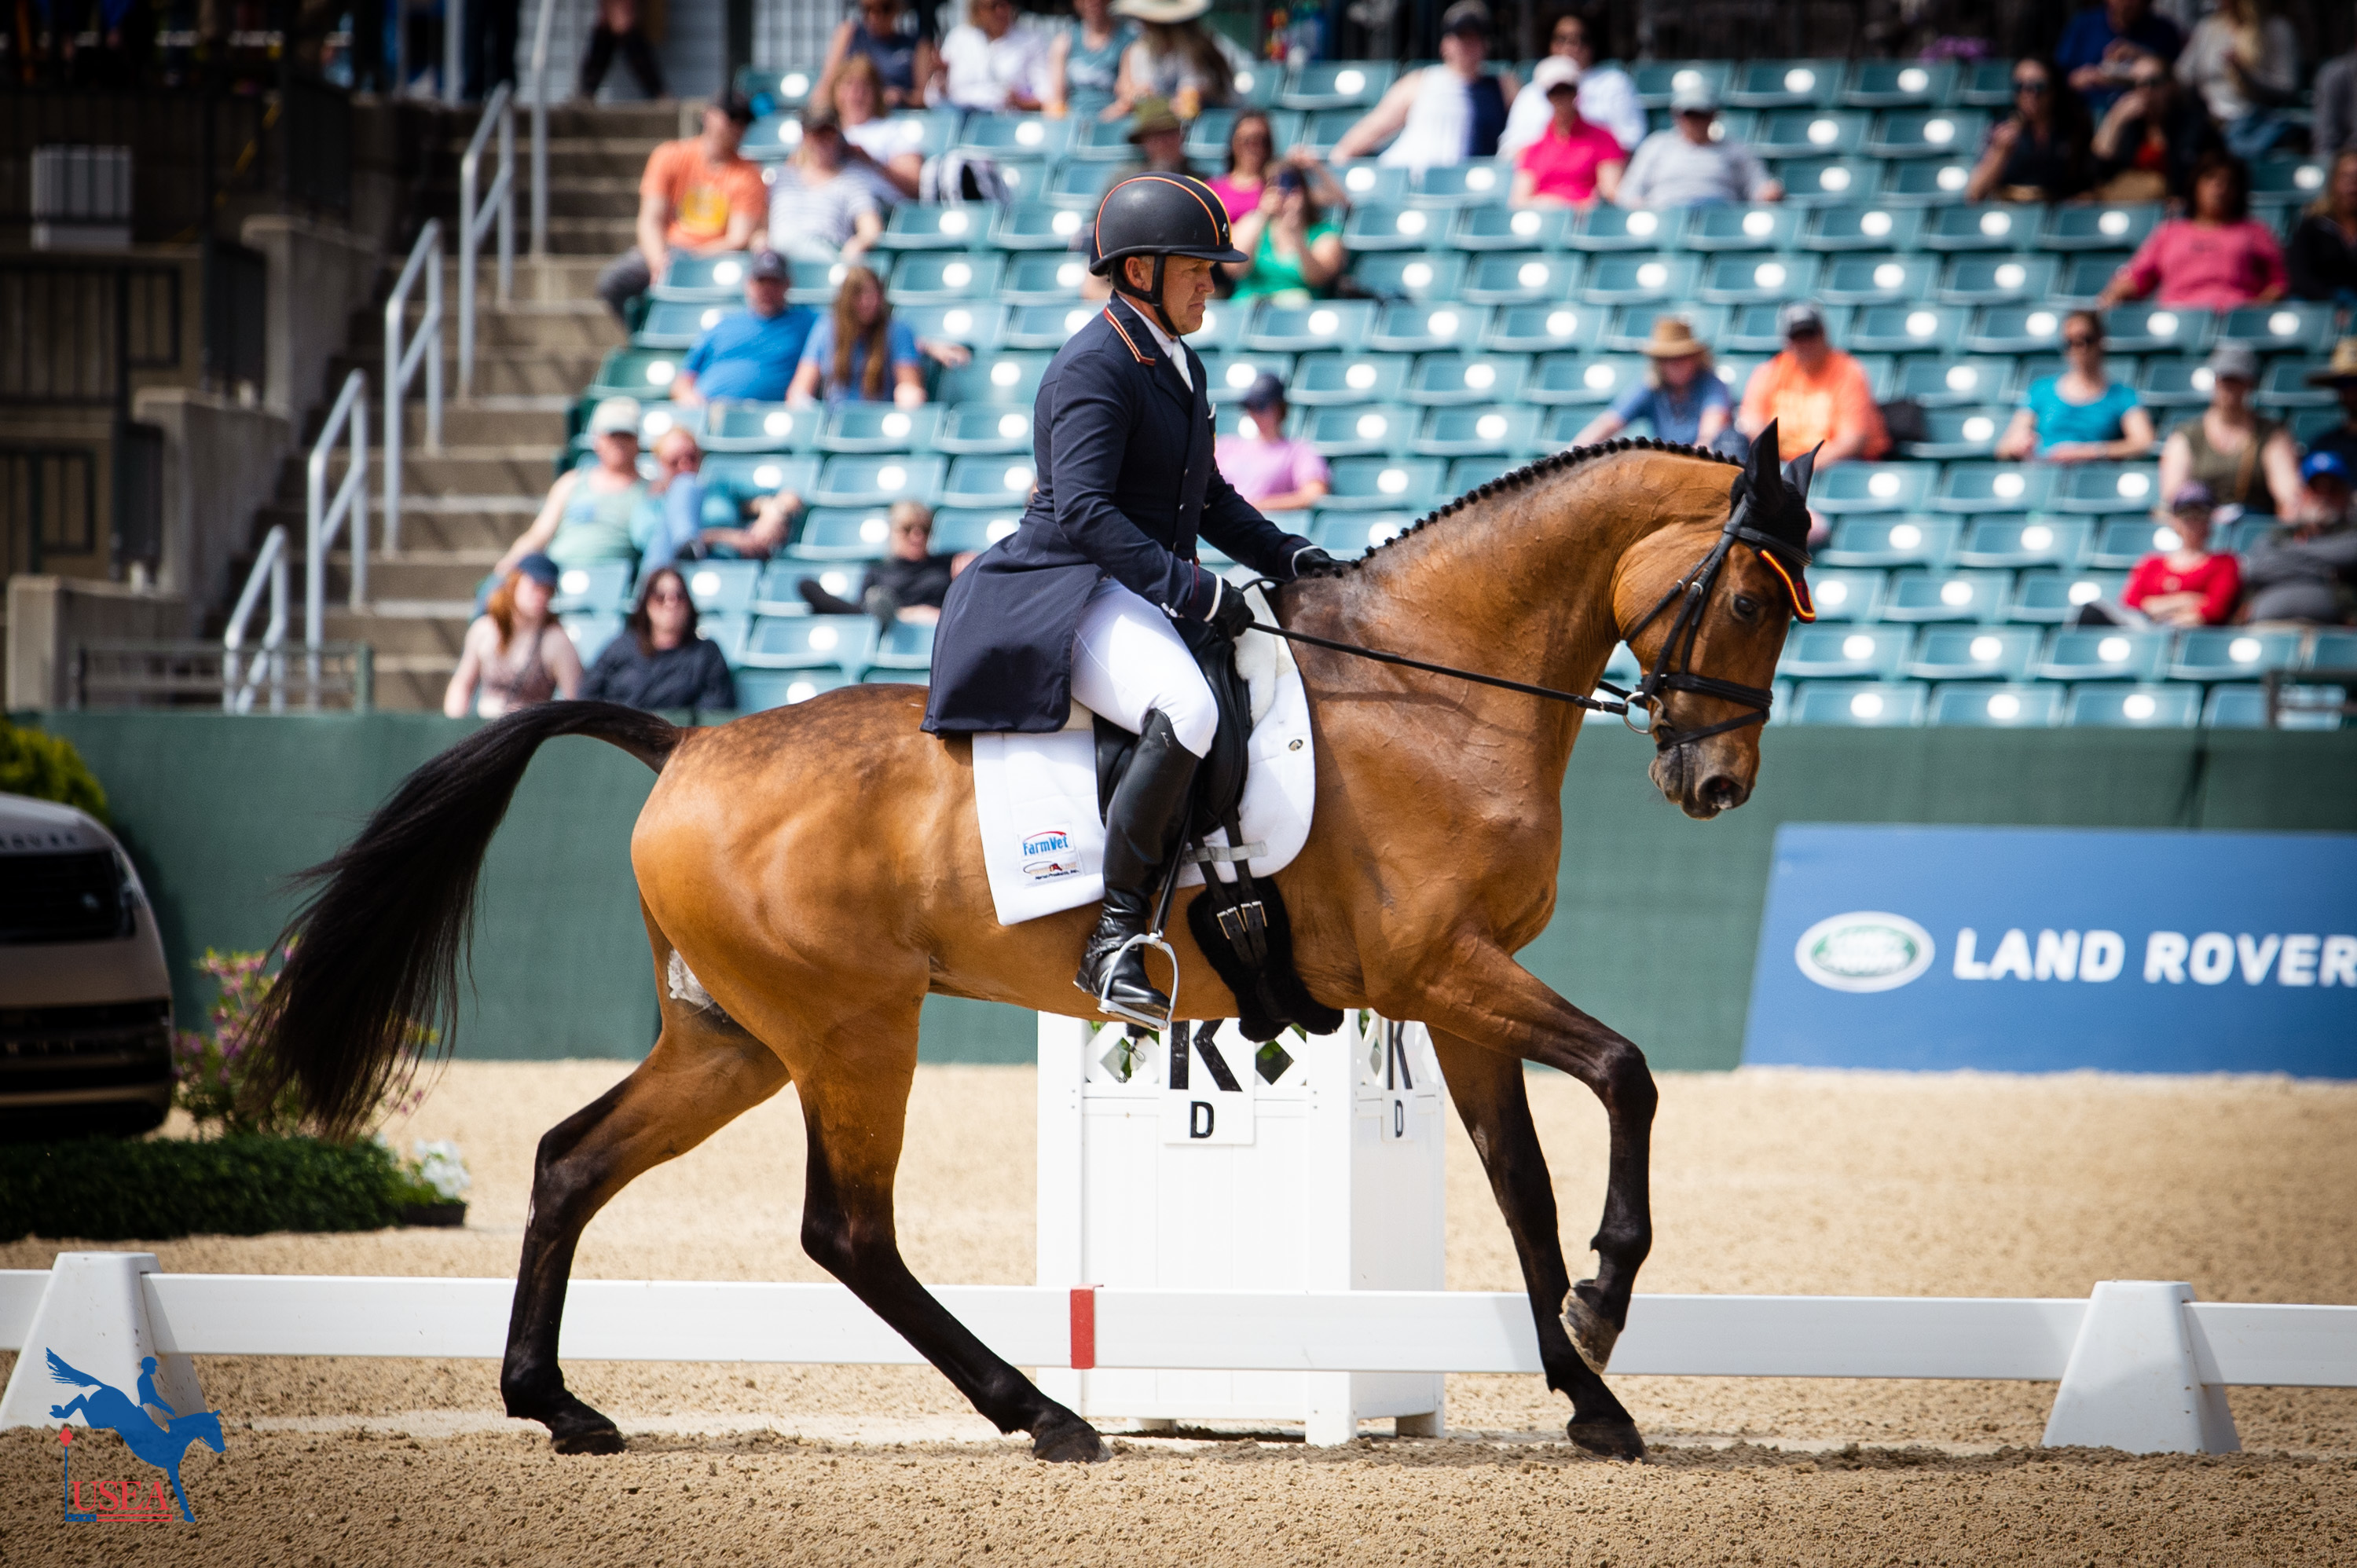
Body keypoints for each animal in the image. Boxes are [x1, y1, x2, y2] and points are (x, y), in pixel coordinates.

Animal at [251, 431, 1817, 1465]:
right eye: (1750, 598)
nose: (1717, 784)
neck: (1435, 692)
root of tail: (683, 740)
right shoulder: (1446, 971)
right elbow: (1627, 1075)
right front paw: (1609, 1304)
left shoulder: (1457, 994)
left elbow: (1523, 1192)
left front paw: (1593, 1390)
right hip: (850, 1032)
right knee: (848, 1231)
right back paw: (1047, 1413)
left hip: (733, 1038)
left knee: (572, 1162)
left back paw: (559, 1403)